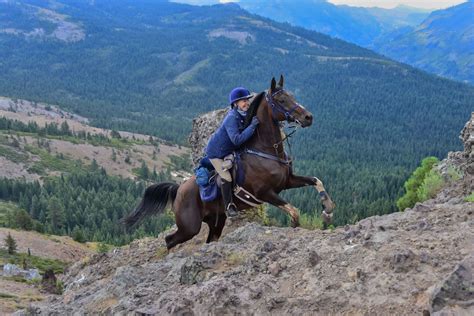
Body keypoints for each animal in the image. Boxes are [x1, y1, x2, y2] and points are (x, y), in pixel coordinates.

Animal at [124, 76, 336, 249]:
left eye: (292, 95)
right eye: (281, 100)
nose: (308, 117)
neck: (266, 151)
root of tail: (178, 189)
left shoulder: (287, 181)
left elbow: (315, 180)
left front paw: (327, 209)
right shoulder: (265, 192)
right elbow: (294, 211)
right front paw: (295, 225)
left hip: (215, 221)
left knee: (208, 239)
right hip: (189, 226)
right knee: (170, 241)